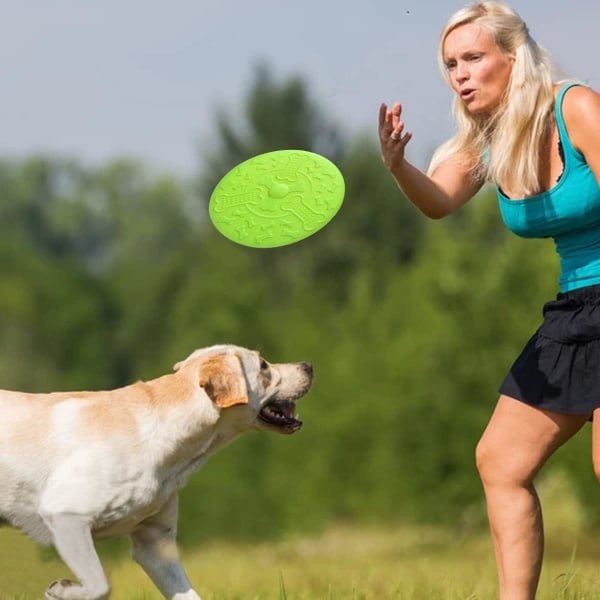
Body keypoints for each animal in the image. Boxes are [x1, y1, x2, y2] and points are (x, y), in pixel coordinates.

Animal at [0, 344, 316, 596]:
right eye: (263, 365)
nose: (308, 365)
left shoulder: (154, 545)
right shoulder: (66, 517)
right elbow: (101, 586)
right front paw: (62, 591)